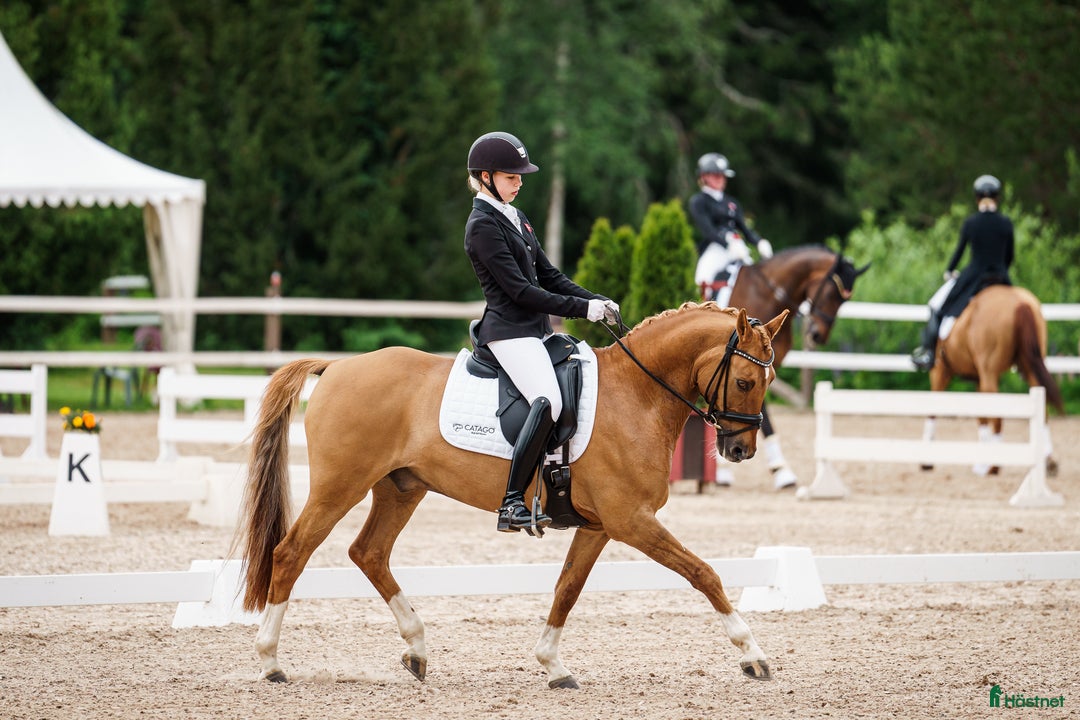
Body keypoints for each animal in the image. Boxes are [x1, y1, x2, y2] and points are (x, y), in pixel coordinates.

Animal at [238, 303, 789, 688]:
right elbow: (704, 573)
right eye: (745, 381)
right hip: (340, 486)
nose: (740, 450)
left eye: (769, 379)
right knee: (290, 553)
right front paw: (753, 655)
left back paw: (417, 649)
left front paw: (553, 665)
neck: (637, 394)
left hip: (401, 488)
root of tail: (335, 368)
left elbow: (567, 589)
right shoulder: (632, 520)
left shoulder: (601, 525)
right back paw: (269, 662)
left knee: (368, 552)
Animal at [923, 284, 1063, 476]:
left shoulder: (940, 370)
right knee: (1042, 410)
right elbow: (981, 415)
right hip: (1031, 366)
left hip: (987, 371)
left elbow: (933, 408)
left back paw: (994, 466)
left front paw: (926, 460)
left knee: (998, 415)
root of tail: (1019, 303)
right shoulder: (977, 378)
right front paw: (981, 461)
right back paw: (1049, 462)